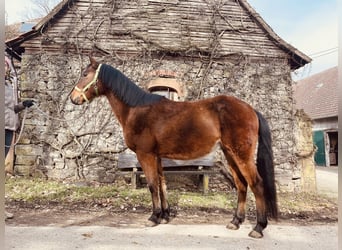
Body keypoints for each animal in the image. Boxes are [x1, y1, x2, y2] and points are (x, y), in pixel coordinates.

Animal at [69, 56, 278, 238]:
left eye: (85, 74)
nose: (73, 98)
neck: (136, 109)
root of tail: (250, 109)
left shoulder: (145, 155)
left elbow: (152, 185)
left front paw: (153, 217)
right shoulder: (157, 156)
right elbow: (162, 184)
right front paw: (165, 215)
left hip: (241, 154)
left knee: (256, 184)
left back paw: (258, 228)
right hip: (230, 154)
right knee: (242, 185)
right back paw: (235, 221)